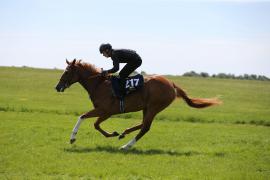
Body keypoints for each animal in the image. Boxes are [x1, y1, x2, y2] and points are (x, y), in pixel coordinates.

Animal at [55, 59, 221, 149]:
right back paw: (124, 133)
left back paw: (126, 146)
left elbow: (82, 117)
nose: (57, 87)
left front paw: (72, 138)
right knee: (142, 124)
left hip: (154, 107)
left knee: (145, 127)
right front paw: (113, 134)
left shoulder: (105, 110)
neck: (99, 84)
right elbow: (96, 125)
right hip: (147, 107)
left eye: (67, 72)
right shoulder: (106, 112)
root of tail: (172, 84)